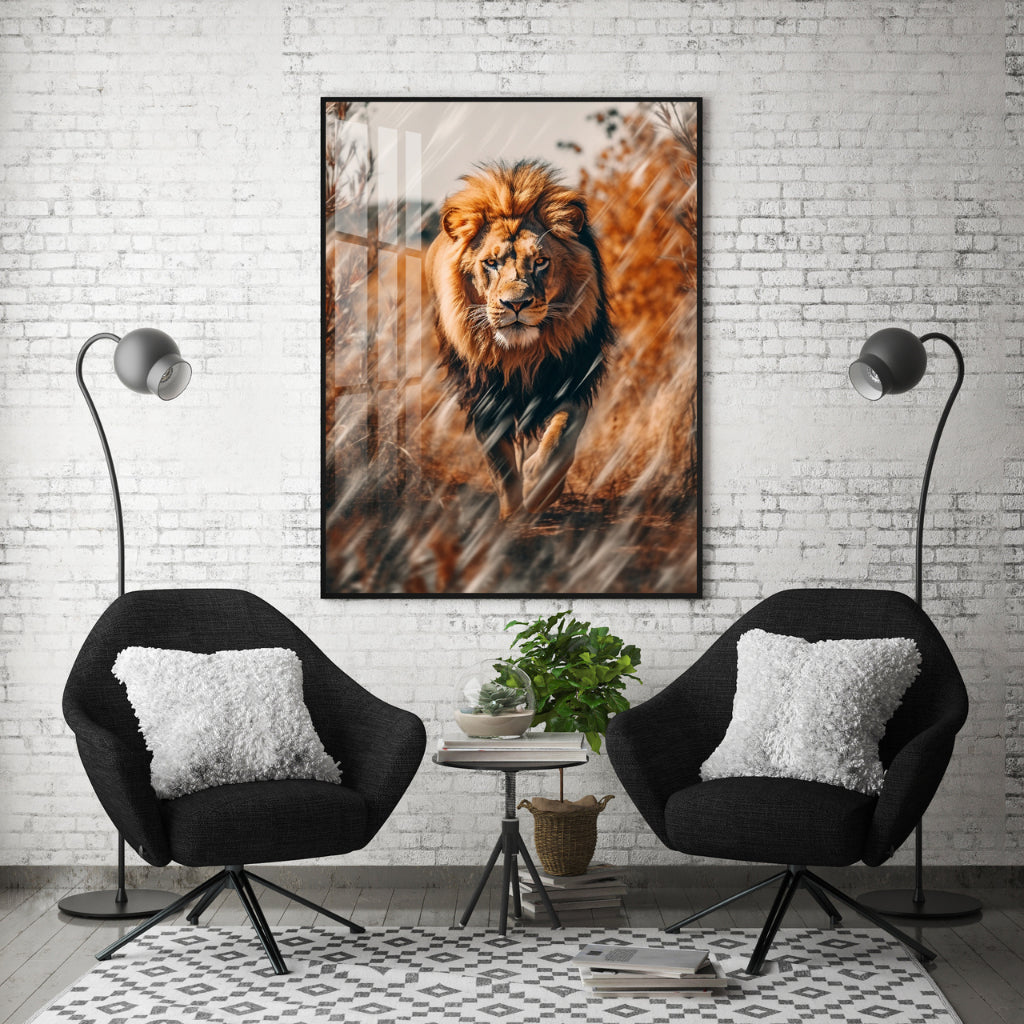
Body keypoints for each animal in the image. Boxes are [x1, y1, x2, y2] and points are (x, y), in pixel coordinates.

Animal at [425, 159, 614, 520]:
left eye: (540, 262)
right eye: (491, 263)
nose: (516, 304)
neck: (520, 354)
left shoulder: (573, 378)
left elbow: (559, 441)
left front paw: (540, 489)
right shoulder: (484, 393)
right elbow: (500, 464)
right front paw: (512, 515)